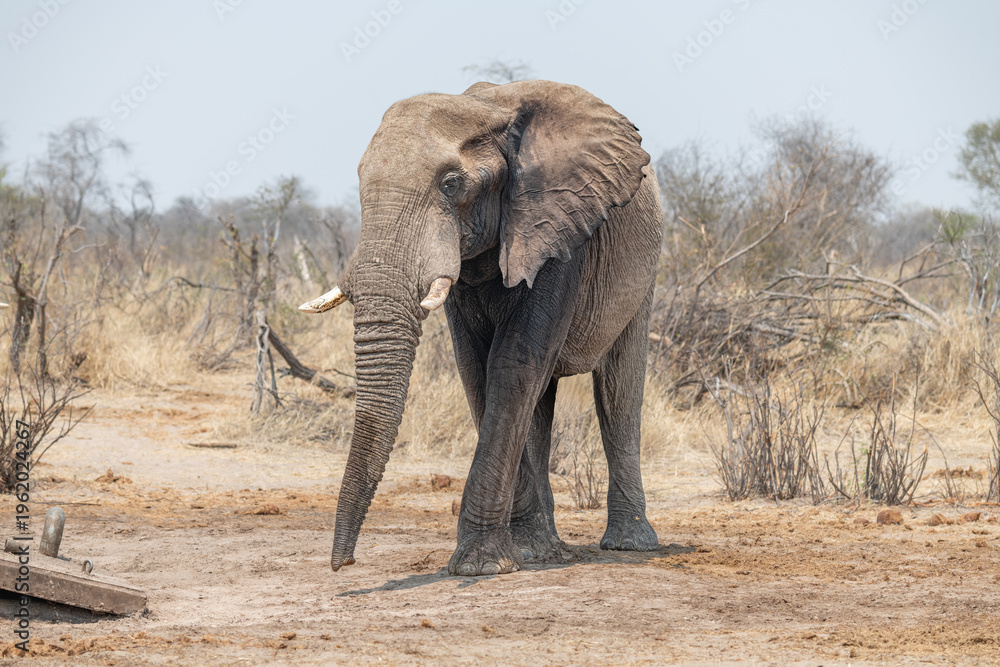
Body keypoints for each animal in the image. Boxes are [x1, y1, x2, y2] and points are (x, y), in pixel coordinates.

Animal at [300, 79, 663, 577]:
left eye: (451, 184)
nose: (344, 564)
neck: (486, 109)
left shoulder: (558, 229)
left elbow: (513, 364)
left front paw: (482, 565)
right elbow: (476, 370)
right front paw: (526, 554)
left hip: (643, 277)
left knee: (618, 392)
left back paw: (630, 545)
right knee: (541, 406)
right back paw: (544, 545)